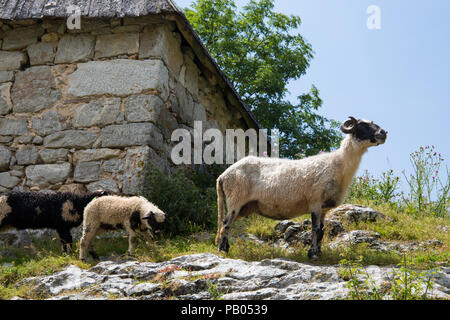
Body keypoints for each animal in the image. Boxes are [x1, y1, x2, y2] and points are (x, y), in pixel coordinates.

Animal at [214, 116, 386, 258]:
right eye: (362, 125)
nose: (384, 133)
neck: (338, 164)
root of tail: (223, 176)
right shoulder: (315, 201)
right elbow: (315, 229)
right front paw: (312, 254)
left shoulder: (324, 208)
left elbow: (322, 231)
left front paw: (319, 253)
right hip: (236, 198)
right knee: (226, 223)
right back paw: (223, 250)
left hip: (244, 206)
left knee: (226, 223)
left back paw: (225, 248)